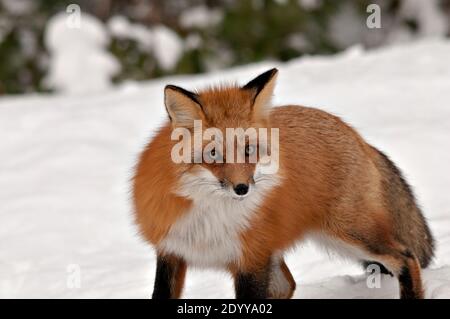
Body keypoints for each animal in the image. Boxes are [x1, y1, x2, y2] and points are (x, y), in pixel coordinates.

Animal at [133, 68, 432, 300]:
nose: (242, 188)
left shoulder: (251, 260)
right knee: (287, 285)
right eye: (214, 154)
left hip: (349, 233)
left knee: (406, 257)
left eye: (249, 150)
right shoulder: (172, 250)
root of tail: (355, 134)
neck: (211, 213)